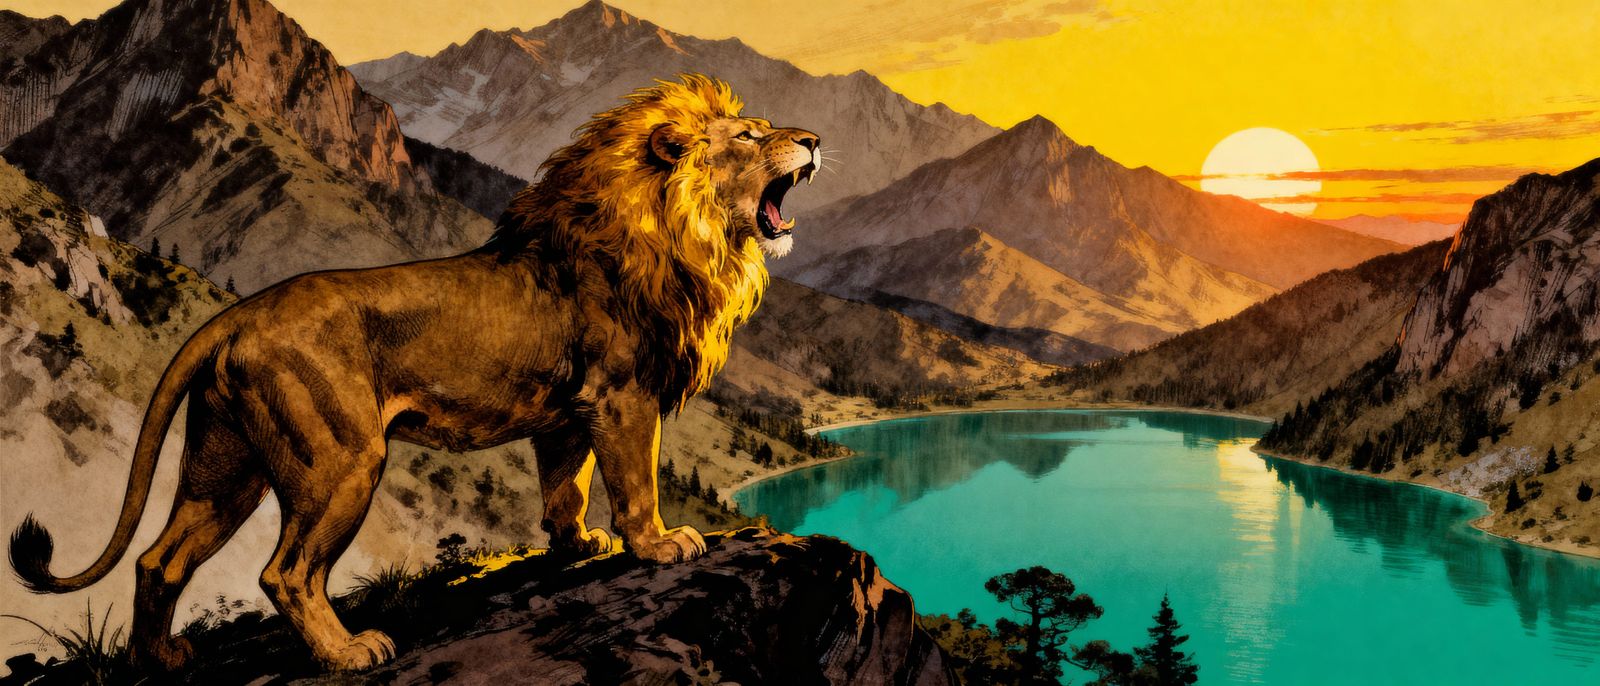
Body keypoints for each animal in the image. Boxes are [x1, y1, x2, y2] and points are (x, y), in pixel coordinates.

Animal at [9, 74, 821, 673]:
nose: (814, 139)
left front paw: (577, 544)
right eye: (750, 137)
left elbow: (569, 485)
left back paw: (162, 660)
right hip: (340, 460)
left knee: (158, 560)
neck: (681, 234)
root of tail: (236, 315)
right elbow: (635, 482)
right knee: (284, 572)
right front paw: (658, 544)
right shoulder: (622, 396)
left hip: (225, 467)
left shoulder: (570, 411)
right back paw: (349, 654)